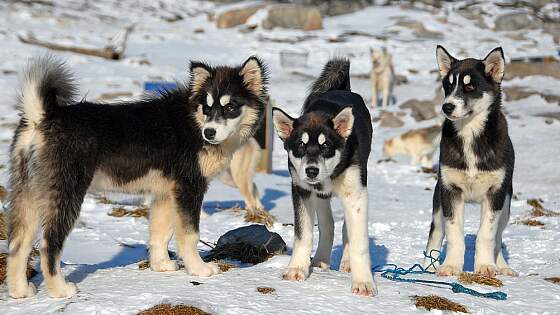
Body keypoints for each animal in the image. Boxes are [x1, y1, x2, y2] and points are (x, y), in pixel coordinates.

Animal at [6, 55, 270, 300]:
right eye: (207, 107)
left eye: (230, 107)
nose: (209, 132)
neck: (192, 120)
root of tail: (42, 116)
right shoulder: (189, 187)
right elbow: (189, 235)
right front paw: (198, 269)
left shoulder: (166, 192)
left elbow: (161, 233)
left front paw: (161, 265)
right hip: (66, 193)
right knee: (49, 245)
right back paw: (60, 290)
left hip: (28, 192)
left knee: (18, 244)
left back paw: (20, 291)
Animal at [272, 58, 376, 298]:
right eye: (300, 145)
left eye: (326, 146)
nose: (311, 171)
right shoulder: (301, 190)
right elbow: (303, 233)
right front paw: (297, 268)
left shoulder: (356, 194)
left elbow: (359, 242)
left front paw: (364, 282)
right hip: (318, 195)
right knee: (328, 225)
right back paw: (320, 260)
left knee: (346, 228)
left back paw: (346, 262)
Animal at [424, 45, 516, 278]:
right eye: (448, 86)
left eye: (470, 86)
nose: (447, 107)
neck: (470, 134)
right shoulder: (450, 191)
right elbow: (454, 233)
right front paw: (450, 266)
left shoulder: (495, 193)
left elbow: (487, 234)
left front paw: (485, 266)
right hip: (439, 201)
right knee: (436, 232)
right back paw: (428, 267)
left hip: (506, 205)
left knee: (498, 238)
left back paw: (502, 266)